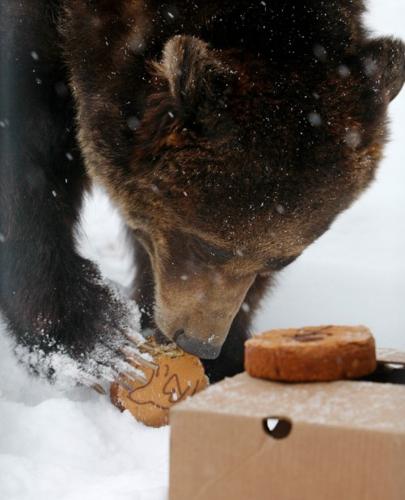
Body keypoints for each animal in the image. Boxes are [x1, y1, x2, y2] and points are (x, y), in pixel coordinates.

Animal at [0, 0, 402, 382]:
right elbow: (28, 166)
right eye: (204, 244)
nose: (199, 343)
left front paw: (228, 358)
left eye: (282, 260)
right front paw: (96, 337)